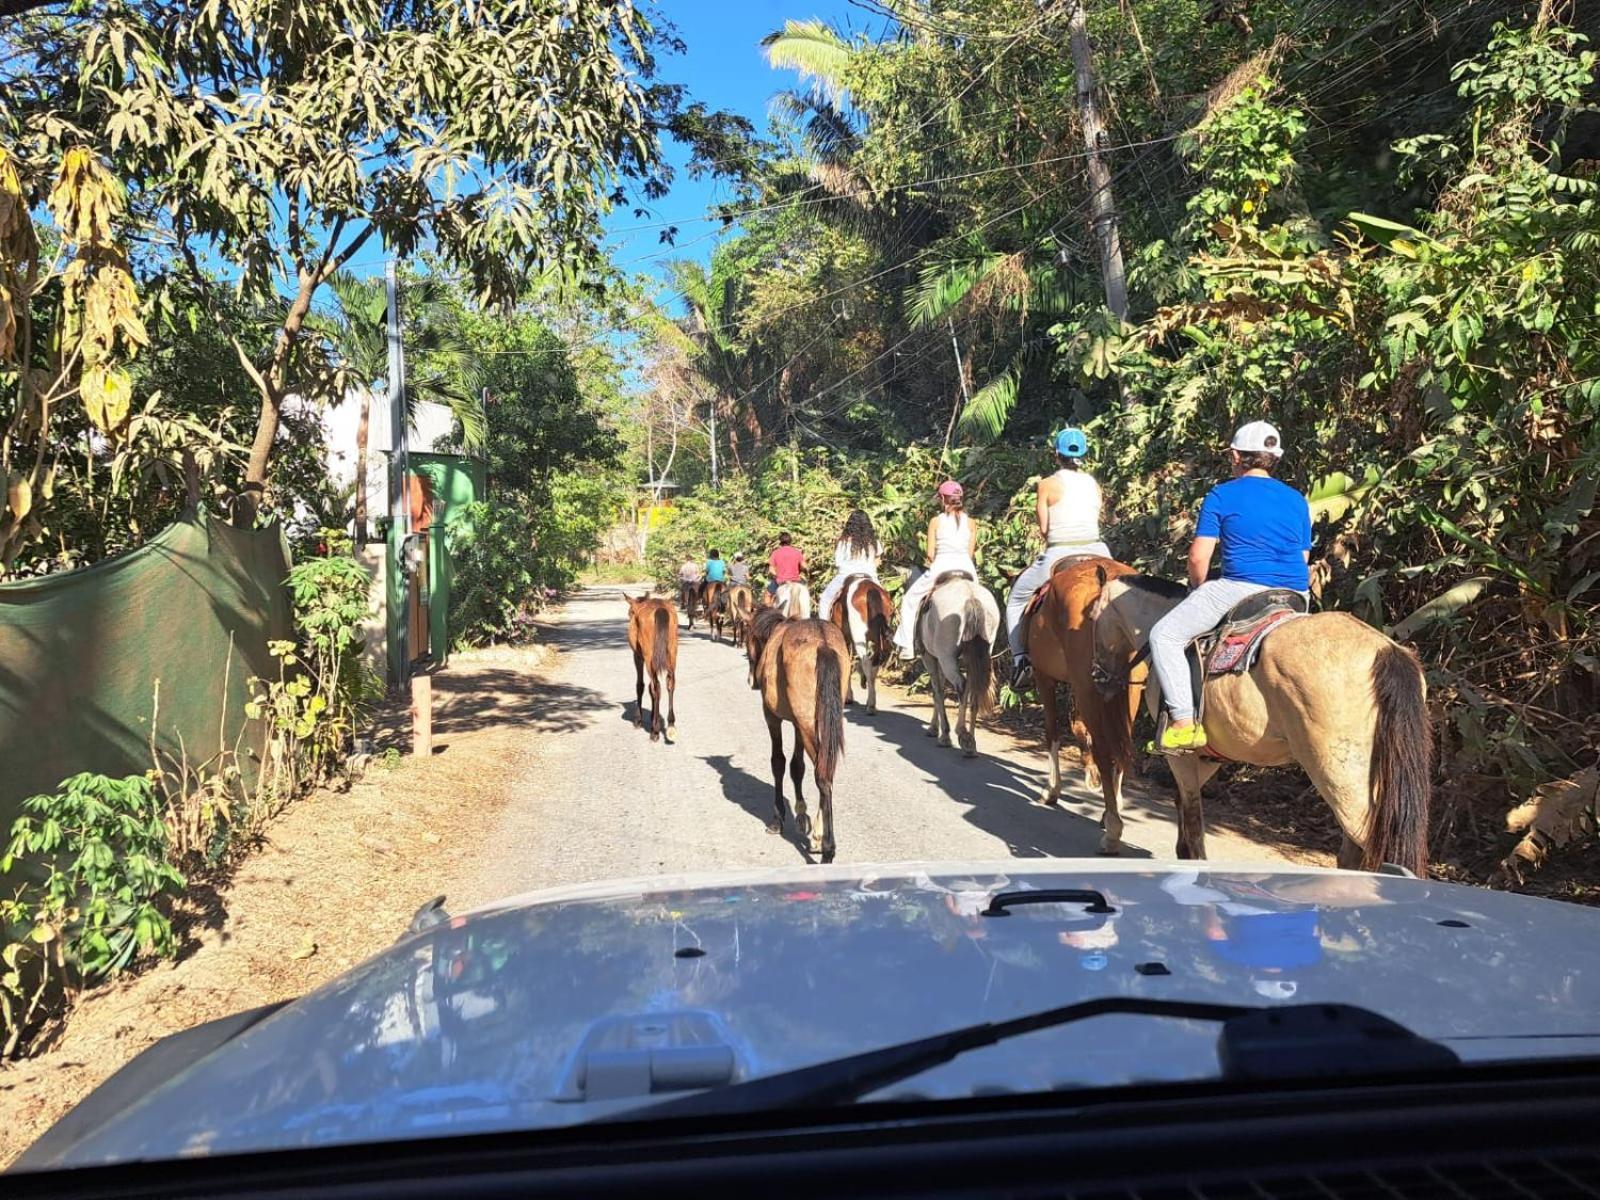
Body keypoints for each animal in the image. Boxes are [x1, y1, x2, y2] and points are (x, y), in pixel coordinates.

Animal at [624, 595, 675, 742]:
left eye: (630, 612)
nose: (630, 617)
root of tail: (660, 609)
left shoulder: (637, 657)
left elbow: (641, 686)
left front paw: (639, 720)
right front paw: (652, 716)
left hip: (649, 658)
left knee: (656, 686)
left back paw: (655, 731)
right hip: (672, 654)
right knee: (670, 684)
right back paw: (671, 725)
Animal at [832, 576, 896, 710]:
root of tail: (871, 589)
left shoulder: (845, 638)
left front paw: (848, 696)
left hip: (859, 636)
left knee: (866, 660)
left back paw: (870, 704)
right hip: (878, 638)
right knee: (875, 662)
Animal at [915, 576, 998, 761]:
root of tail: (971, 597)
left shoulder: (930, 658)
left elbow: (937, 691)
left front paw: (942, 733)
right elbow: (939, 691)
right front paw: (935, 728)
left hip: (946, 659)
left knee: (961, 685)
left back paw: (961, 733)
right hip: (978, 657)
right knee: (974, 690)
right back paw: (971, 743)